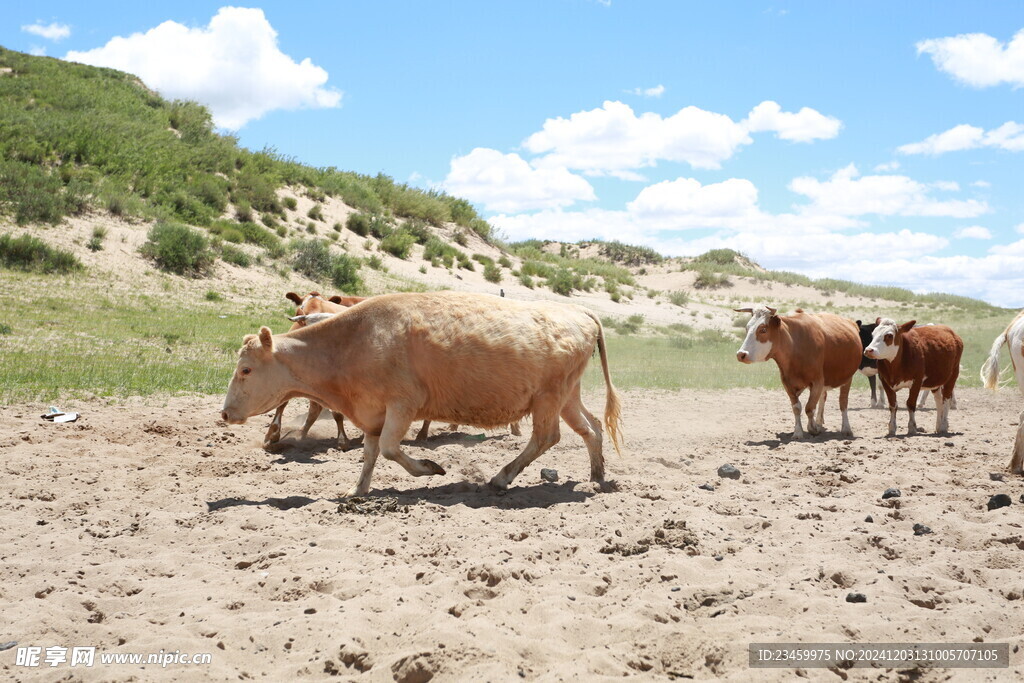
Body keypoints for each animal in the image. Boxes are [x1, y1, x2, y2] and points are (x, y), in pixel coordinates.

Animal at [222, 290, 622, 497]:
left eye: (246, 370)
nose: (224, 413)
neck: (353, 342)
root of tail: (579, 311)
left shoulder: (403, 404)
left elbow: (389, 448)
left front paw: (430, 468)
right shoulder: (372, 412)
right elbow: (370, 453)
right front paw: (357, 491)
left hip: (548, 397)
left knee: (546, 436)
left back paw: (502, 477)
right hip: (567, 395)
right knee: (590, 429)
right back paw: (595, 478)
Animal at [733, 305, 860, 438]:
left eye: (763, 329)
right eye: (747, 328)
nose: (741, 354)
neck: (795, 346)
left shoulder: (817, 381)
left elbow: (809, 407)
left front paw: (812, 428)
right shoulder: (788, 383)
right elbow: (797, 407)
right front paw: (798, 432)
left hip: (848, 378)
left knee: (843, 402)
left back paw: (846, 428)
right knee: (823, 397)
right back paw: (819, 422)